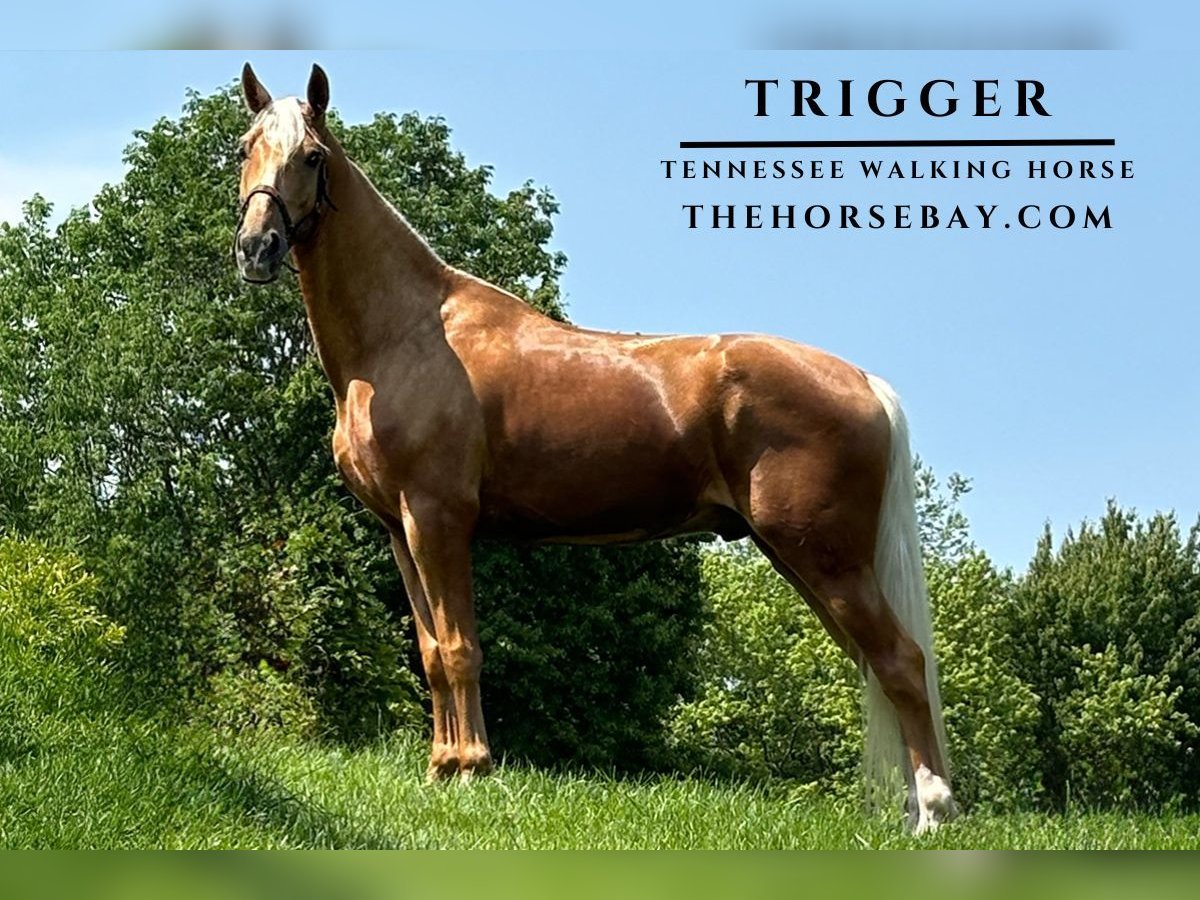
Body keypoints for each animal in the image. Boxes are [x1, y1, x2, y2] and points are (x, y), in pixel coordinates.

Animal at [232, 63, 957, 833]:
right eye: (245, 147)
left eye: (313, 156)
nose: (257, 248)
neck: (408, 334)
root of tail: (863, 381)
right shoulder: (400, 530)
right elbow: (430, 652)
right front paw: (440, 769)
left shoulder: (439, 520)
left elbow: (461, 649)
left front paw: (473, 771)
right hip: (806, 558)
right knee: (878, 666)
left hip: (826, 557)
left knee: (900, 662)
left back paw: (935, 811)